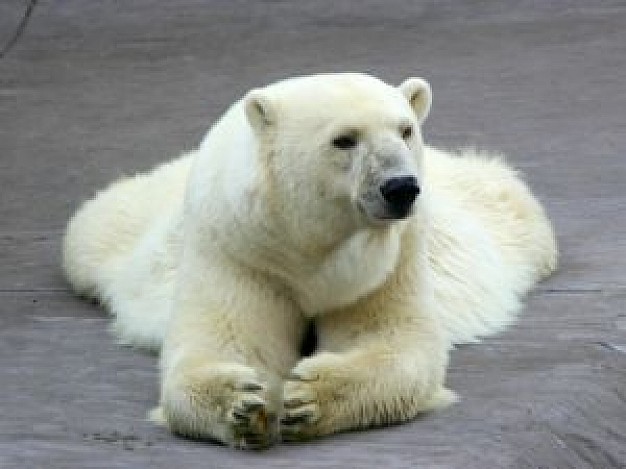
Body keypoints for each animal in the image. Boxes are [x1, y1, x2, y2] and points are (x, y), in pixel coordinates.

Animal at [61, 72, 552, 446]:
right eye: (344, 140)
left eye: (405, 129)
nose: (401, 187)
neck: (306, 244)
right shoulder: (240, 250)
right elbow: (225, 341)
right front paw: (242, 404)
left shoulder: (389, 261)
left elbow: (389, 337)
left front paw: (307, 398)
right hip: (124, 227)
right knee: (93, 230)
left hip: (493, 209)